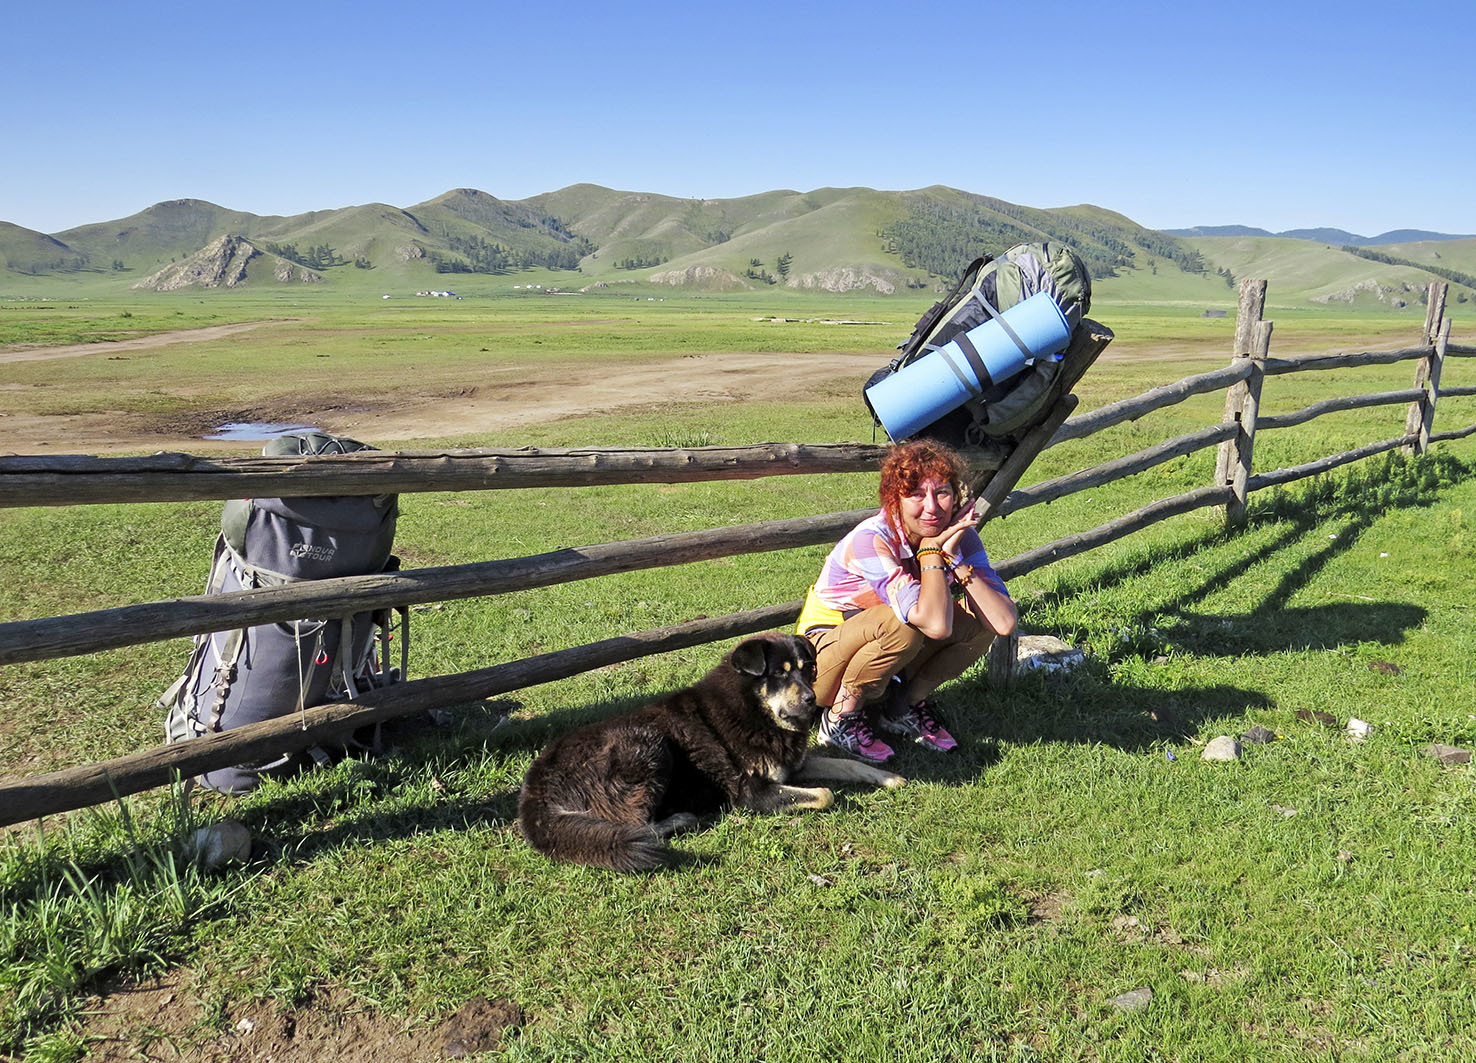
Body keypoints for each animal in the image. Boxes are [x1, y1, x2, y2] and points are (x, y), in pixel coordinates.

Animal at [525, 631, 903, 874]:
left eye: (806, 670)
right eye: (779, 675)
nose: (812, 700)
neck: (753, 710)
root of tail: (535, 786)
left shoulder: (792, 766)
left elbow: (847, 763)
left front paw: (887, 776)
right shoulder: (749, 792)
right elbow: (826, 794)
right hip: (646, 745)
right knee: (635, 826)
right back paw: (681, 819)